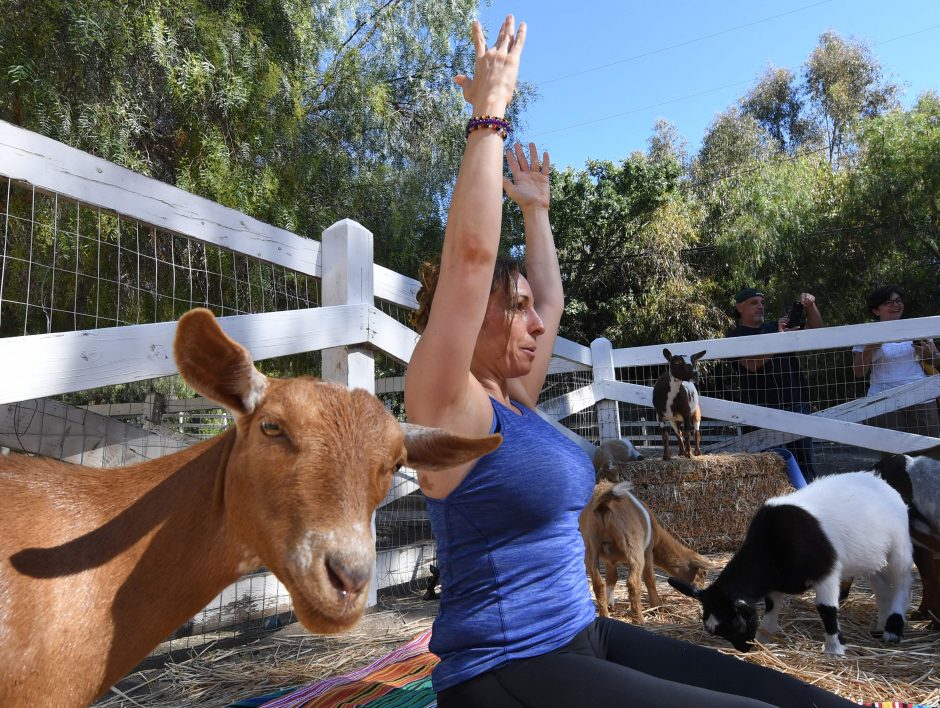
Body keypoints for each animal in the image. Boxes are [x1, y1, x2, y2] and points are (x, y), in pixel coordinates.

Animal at [580, 478, 712, 624]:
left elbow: (611, 579)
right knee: (633, 583)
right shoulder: (648, 552)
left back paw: (605, 615)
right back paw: (639, 619)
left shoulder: (610, 561)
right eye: (704, 573)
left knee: (598, 583)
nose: (701, 593)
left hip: (590, 546)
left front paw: (610, 605)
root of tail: (604, 503)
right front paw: (657, 606)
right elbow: (649, 578)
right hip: (633, 546)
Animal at [668, 472, 912, 656]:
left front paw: (834, 649)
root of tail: (879, 481)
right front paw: (764, 638)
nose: (744, 649)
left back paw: (893, 629)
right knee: (882, 589)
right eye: (713, 631)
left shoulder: (827, 573)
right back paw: (880, 626)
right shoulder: (775, 581)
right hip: (870, 559)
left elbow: (827, 610)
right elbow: (771, 608)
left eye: (737, 624)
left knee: (902, 582)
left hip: (899, 546)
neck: (772, 542)